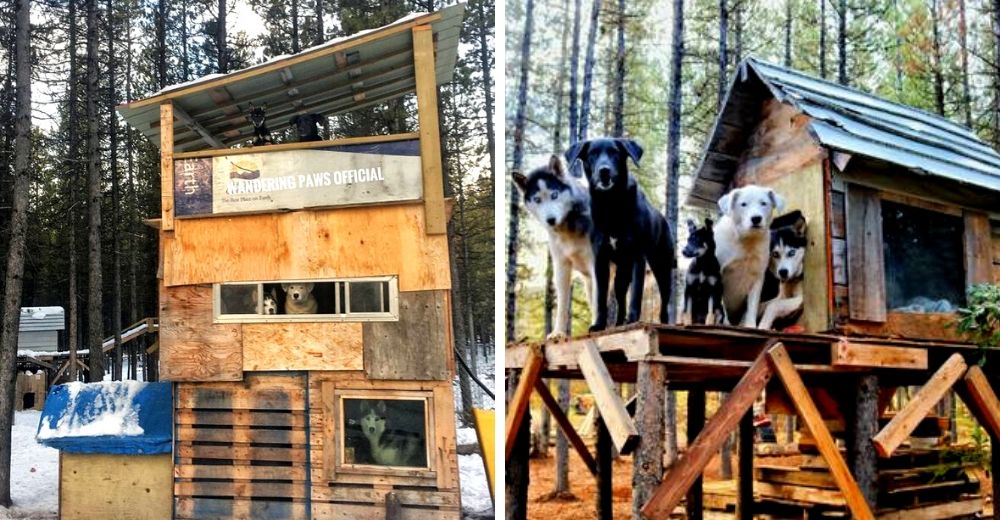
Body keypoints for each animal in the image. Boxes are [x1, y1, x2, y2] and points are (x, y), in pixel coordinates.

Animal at [512, 156, 596, 340]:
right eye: (537, 199)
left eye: (554, 195)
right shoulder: (561, 266)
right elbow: (562, 305)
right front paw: (558, 333)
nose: (550, 220)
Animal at [568, 135, 676, 330]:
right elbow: (601, 298)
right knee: (620, 297)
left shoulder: (638, 257)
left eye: (615, 153)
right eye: (592, 154)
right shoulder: (600, 259)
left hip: (662, 269)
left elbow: (636, 295)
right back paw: (618, 324)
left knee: (664, 302)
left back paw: (664, 322)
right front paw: (599, 324)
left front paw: (633, 320)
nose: (604, 171)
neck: (612, 205)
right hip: (622, 274)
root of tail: (664, 220)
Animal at [716, 185, 784, 328]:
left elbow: (752, 305)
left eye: (763, 203)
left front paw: (751, 326)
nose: (756, 218)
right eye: (743, 204)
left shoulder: (757, 276)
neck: (746, 240)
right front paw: (725, 323)